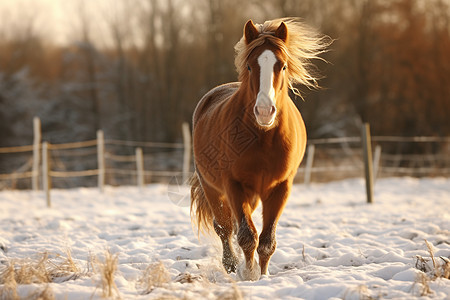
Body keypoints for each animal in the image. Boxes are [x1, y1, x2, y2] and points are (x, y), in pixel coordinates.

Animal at [190, 17, 330, 280]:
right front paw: (248, 274)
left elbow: (266, 241)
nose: (265, 111)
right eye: (249, 66)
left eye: (282, 66)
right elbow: (247, 236)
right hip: (212, 188)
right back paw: (231, 265)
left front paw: (262, 275)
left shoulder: (280, 188)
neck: (264, 139)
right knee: (225, 228)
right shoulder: (233, 185)